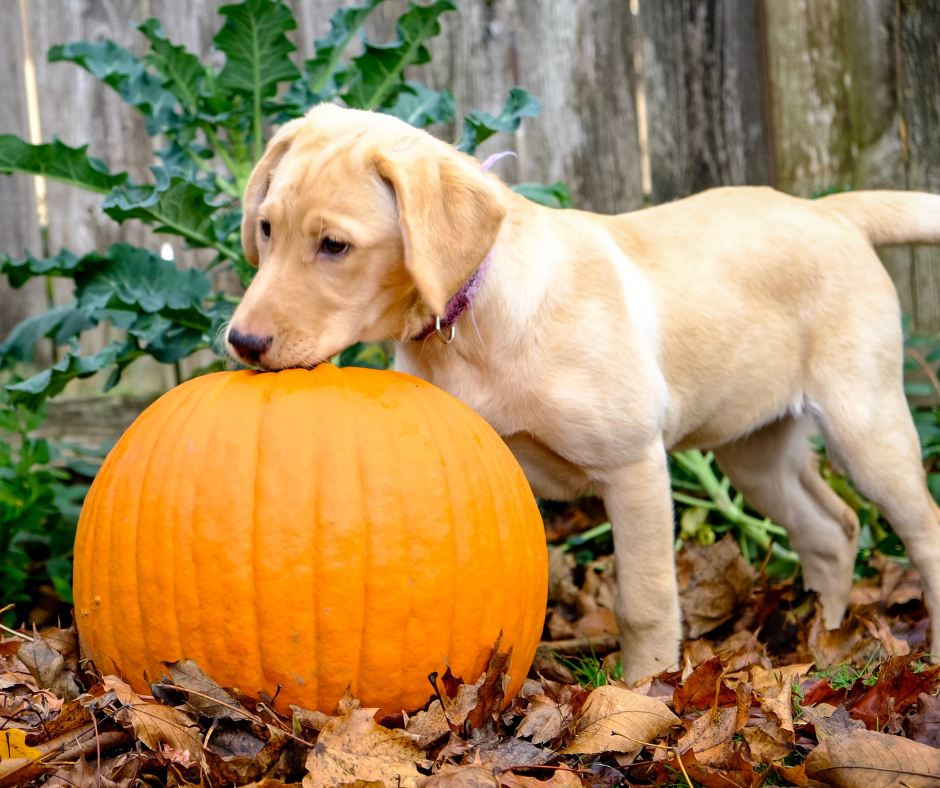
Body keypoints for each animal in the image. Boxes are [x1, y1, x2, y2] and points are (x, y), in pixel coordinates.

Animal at [228, 104, 940, 684]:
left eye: (335, 245)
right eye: (265, 229)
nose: (241, 342)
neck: (473, 317)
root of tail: (828, 209)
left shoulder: (634, 467)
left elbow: (643, 599)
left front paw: (645, 690)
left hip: (865, 422)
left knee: (921, 525)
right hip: (753, 448)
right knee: (831, 530)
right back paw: (826, 641)